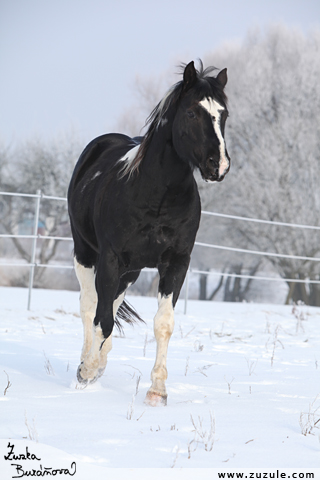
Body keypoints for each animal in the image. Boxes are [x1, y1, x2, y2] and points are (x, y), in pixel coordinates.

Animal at [68, 60, 230, 404]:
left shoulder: (176, 262)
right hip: (86, 254)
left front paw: (157, 391)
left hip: (130, 270)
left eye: (223, 115)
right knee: (90, 305)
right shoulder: (110, 258)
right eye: (192, 113)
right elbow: (101, 317)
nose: (219, 166)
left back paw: (100, 361)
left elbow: (163, 324)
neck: (157, 195)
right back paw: (87, 365)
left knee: (110, 303)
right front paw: (87, 372)